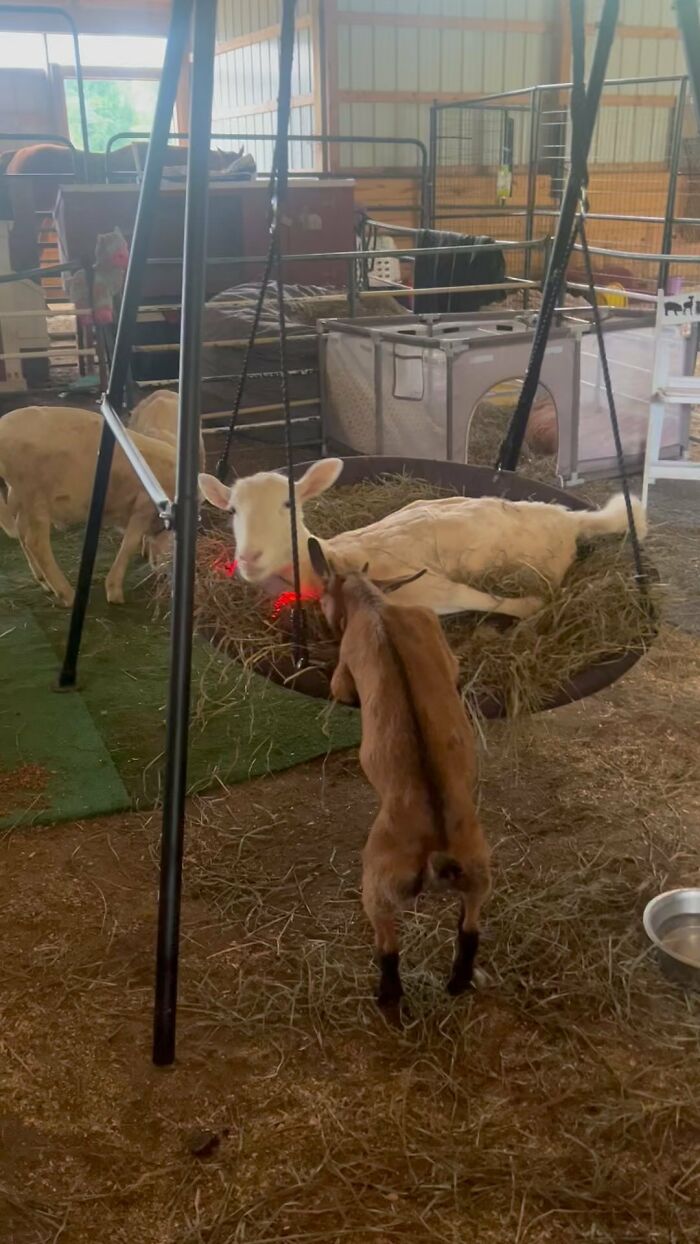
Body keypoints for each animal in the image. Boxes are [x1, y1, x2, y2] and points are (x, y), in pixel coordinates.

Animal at [0, 404, 176, 606]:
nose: (164, 577)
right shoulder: (143, 506)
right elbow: (129, 543)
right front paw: (116, 596)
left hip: (22, 497)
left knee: (22, 533)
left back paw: (45, 583)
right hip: (35, 494)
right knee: (35, 543)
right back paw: (68, 596)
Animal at [198, 458, 647, 618]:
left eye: (289, 505)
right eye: (232, 510)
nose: (249, 557)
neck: (330, 555)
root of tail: (569, 518)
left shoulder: (427, 588)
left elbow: (487, 600)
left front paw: (528, 609)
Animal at [307, 538, 491, 1014]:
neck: (376, 608)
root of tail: (438, 847)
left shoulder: (344, 672)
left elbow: (339, 687)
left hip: (378, 881)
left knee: (387, 942)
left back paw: (389, 1000)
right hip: (480, 866)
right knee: (470, 925)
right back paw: (457, 981)